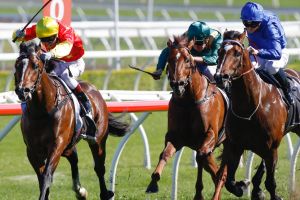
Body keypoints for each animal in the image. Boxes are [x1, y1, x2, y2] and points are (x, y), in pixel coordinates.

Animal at [14, 40, 129, 200]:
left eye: (35, 66)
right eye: (16, 65)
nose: (21, 91)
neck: (42, 110)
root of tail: (95, 90)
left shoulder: (57, 144)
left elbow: (47, 175)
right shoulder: (32, 150)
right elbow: (41, 177)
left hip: (98, 139)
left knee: (99, 167)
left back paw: (105, 193)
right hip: (69, 143)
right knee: (74, 157)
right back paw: (80, 190)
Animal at [146, 36, 227, 200]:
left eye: (188, 59)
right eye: (169, 59)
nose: (178, 84)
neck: (189, 100)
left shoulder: (210, 135)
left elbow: (201, 157)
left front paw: (199, 193)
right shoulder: (176, 136)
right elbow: (165, 154)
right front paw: (153, 183)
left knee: (221, 173)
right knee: (215, 171)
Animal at [212, 29, 300, 200]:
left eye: (237, 53)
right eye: (219, 51)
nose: (220, 76)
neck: (250, 107)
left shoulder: (271, 148)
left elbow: (271, 183)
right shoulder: (236, 145)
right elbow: (230, 181)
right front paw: (243, 186)